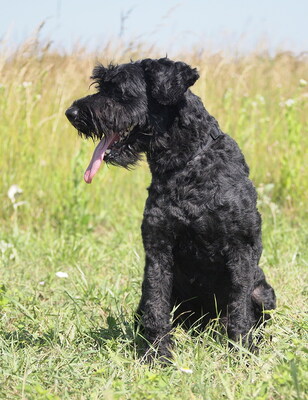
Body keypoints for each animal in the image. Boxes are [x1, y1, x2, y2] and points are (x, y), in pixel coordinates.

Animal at [65, 57, 276, 360]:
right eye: (100, 85)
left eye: (119, 89)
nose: (71, 113)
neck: (186, 165)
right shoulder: (158, 248)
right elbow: (156, 304)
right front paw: (158, 354)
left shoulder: (241, 247)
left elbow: (239, 305)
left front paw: (242, 350)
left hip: (263, 292)